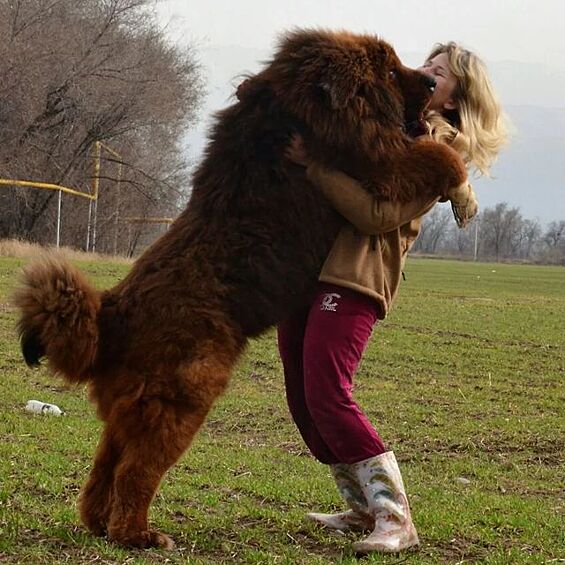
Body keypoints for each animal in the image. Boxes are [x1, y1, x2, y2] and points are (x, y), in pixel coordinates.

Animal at [15, 29, 464, 548]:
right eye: (391, 70)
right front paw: (460, 179)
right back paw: (139, 534)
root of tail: (110, 316)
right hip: (181, 401)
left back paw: (98, 524)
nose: (431, 82)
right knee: (135, 472)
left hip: (136, 409)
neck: (296, 109)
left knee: (105, 466)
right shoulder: (376, 165)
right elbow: (432, 156)